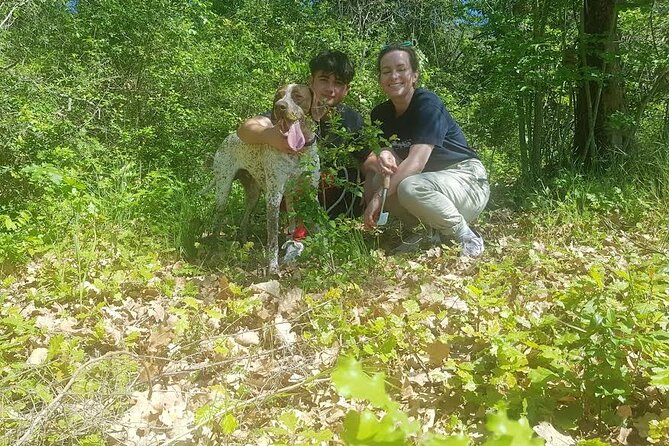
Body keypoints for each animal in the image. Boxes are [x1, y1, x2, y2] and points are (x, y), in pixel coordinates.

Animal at [210, 83, 322, 272]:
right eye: (278, 96)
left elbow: (314, 223)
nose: (280, 106)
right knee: (217, 221)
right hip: (223, 192)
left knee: (244, 220)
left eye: (298, 96)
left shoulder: (310, 191)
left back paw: (244, 243)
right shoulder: (274, 197)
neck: (299, 151)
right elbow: (273, 239)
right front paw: (273, 267)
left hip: (254, 196)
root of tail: (230, 136)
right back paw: (215, 245)